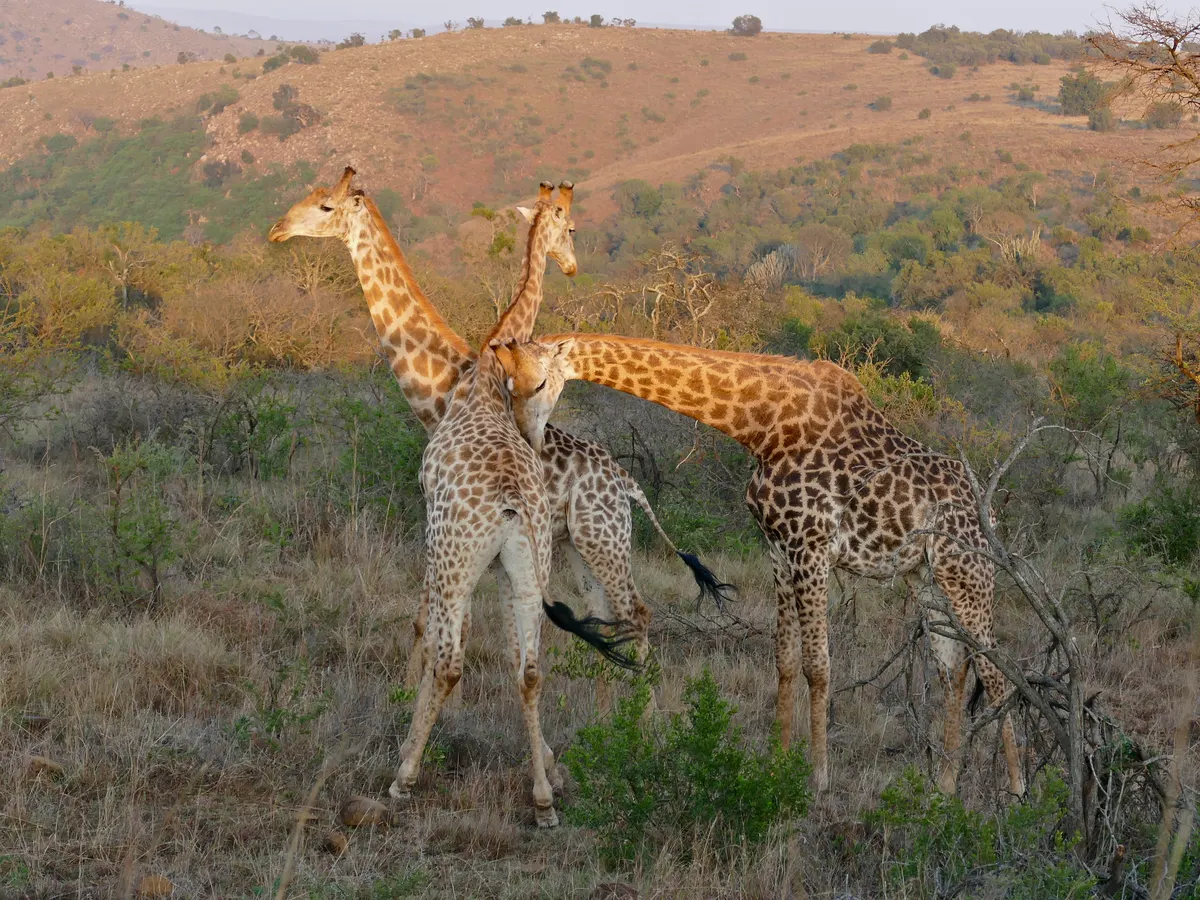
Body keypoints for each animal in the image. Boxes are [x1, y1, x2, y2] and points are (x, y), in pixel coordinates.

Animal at [266, 169, 727, 696]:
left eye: (325, 207)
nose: (277, 229)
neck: (446, 382)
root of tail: (626, 483)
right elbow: (435, 621)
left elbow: (438, 621)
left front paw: (412, 693)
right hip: (577, 545)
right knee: (609, 616)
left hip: (601, 538)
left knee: (638, 612)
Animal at [390, 343, 635, 826]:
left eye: (543, 385)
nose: (533, 436)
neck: (480, 388)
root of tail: (512, 499)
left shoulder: (437, 534)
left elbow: (430, 635)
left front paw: (408, 745)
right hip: (528, 568)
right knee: (532, 671)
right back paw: (543, 801)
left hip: (457, 557)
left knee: (450, 662)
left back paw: (404, 780)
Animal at [492, 334, 1027, 797]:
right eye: (508, 384)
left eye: (540, 383)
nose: (526, 438)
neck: (764, 427)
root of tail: (989, 513)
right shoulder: (778, 549)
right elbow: (785, 661)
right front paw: (777, 763)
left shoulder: (812, 546)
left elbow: (818, 665)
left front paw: (818, 779)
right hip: (928, 578)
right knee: (954, 669)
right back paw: (946, 788)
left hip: (968, 572)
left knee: (998, 670)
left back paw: (1017, 791)